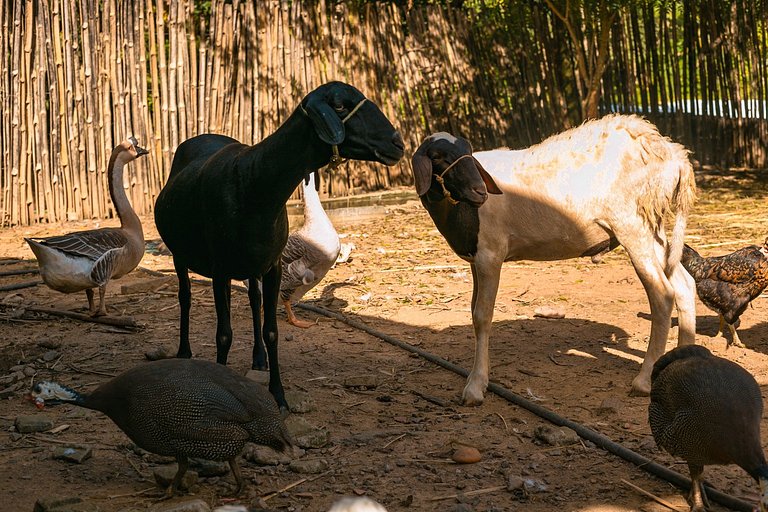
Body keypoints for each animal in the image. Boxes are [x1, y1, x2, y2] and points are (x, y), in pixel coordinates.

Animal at [412, 115, 700, 404]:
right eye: (437, 156)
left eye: (469, 152)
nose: (480, 191)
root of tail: (671, 153)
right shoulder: (475, 259)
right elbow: (473, 311)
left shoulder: (490, 254)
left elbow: (482, 315)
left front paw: (475, 386)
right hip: (652, 225)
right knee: (684, 285)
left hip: (631, 223)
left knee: (662, 294)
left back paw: (643, 381)